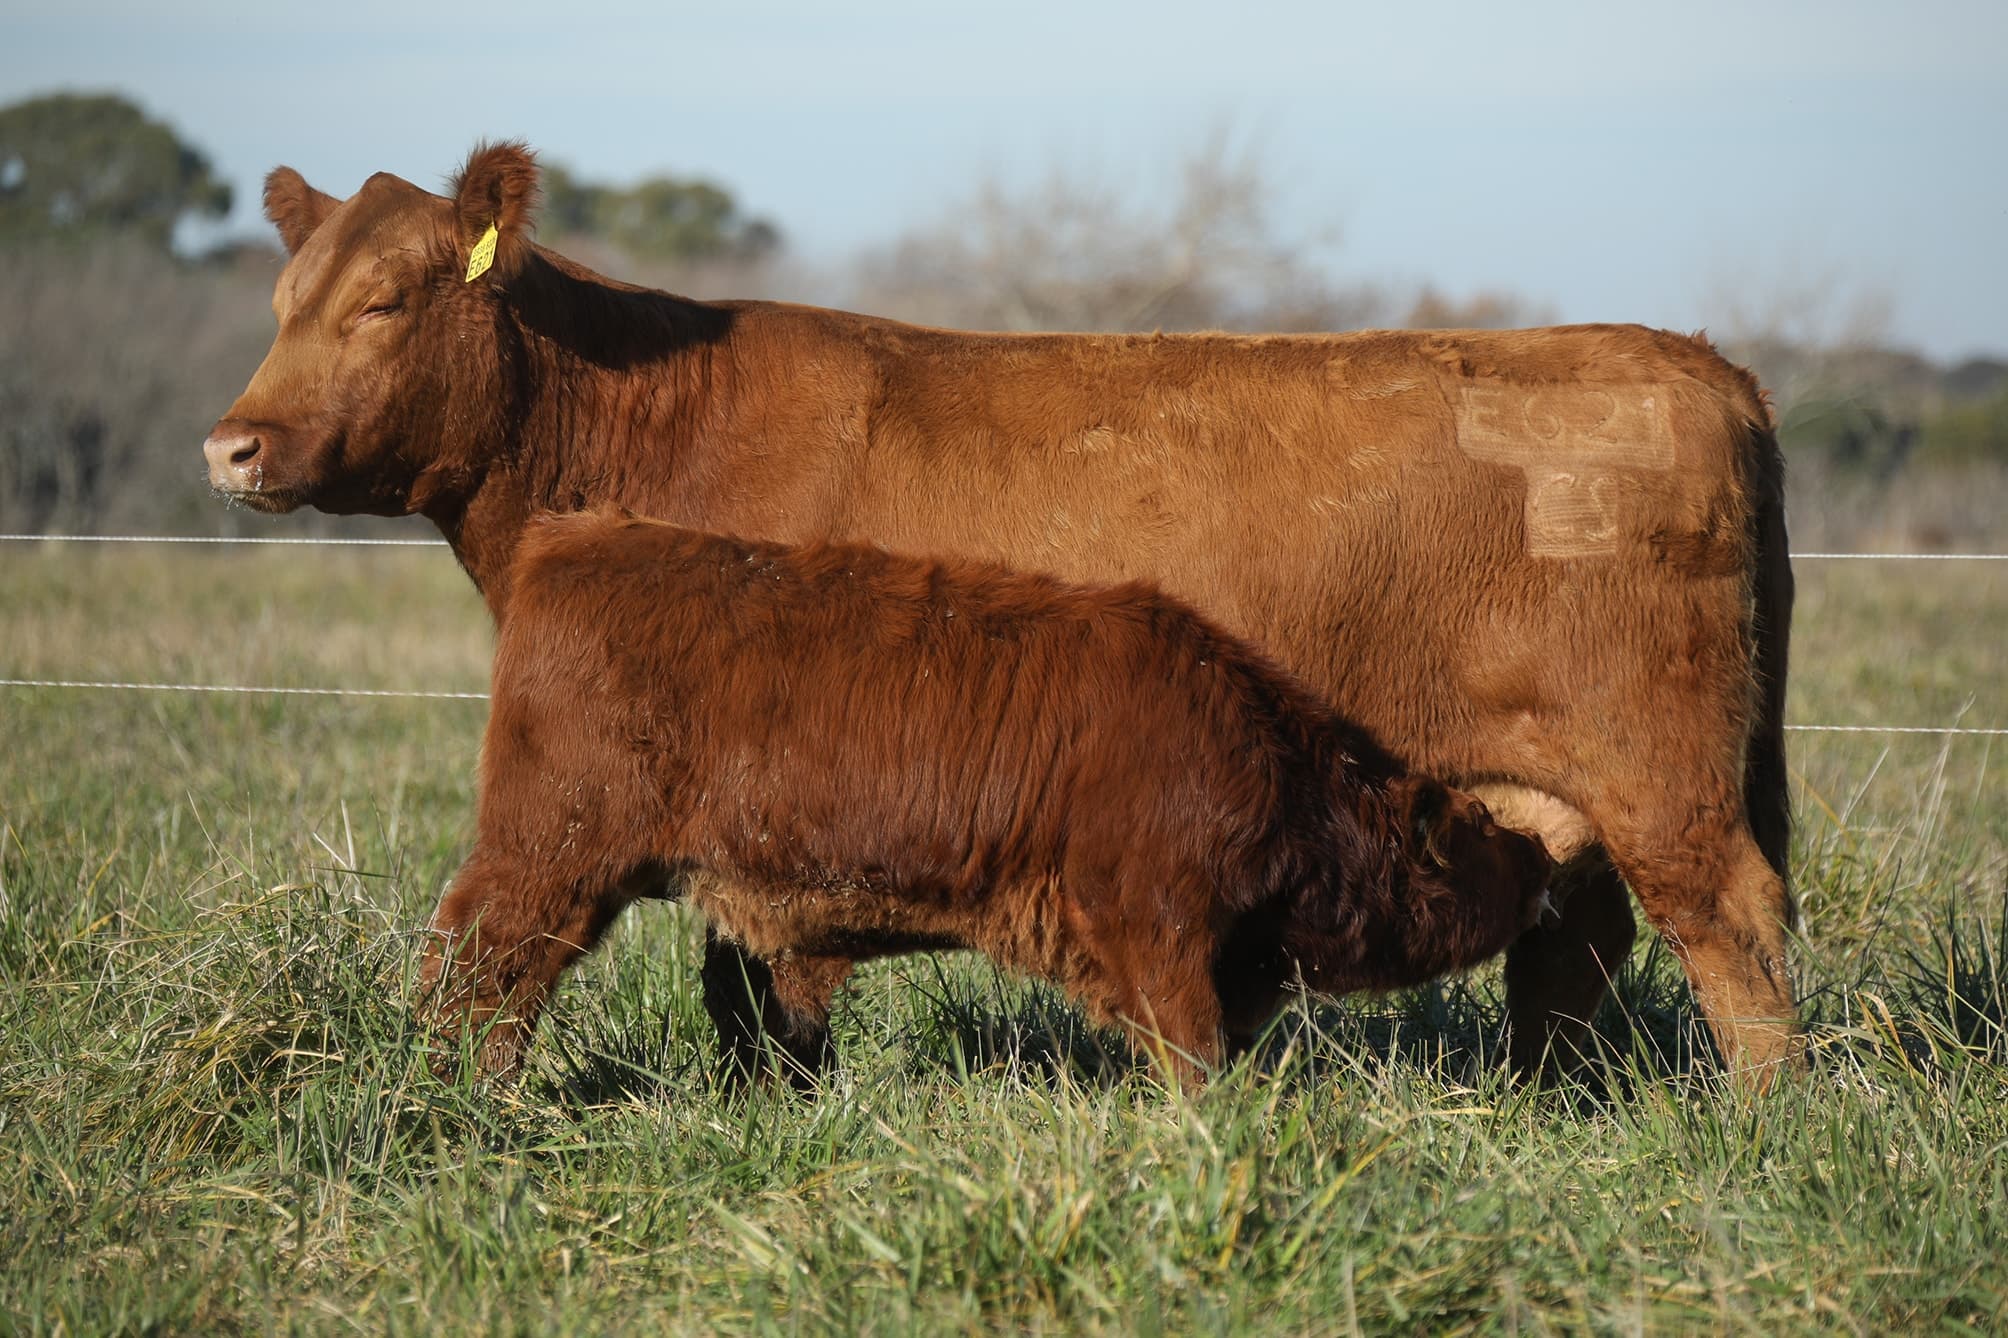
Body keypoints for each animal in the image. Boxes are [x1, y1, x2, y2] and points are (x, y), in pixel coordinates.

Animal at [421, 510, 1556, 1082]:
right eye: (1478, 831)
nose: (1546, 863)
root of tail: (575, 538)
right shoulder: (1154, 925)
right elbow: (1191, 1055)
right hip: (550, 861)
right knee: (480, 966)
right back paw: (463, 1092)